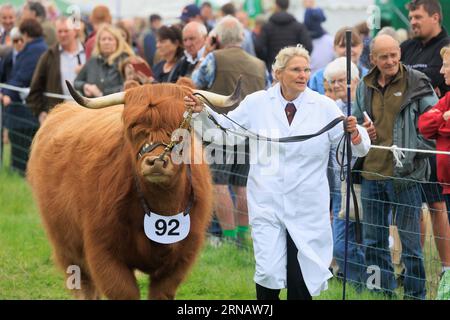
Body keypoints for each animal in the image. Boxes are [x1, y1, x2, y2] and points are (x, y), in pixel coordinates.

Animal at [26, 80, 241, 300]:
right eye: (134, 127)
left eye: (183, 128)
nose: (157, 162)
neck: (162, 205)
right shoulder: (103, 253)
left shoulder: (180, 259)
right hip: (67, 246)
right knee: (84, 285)